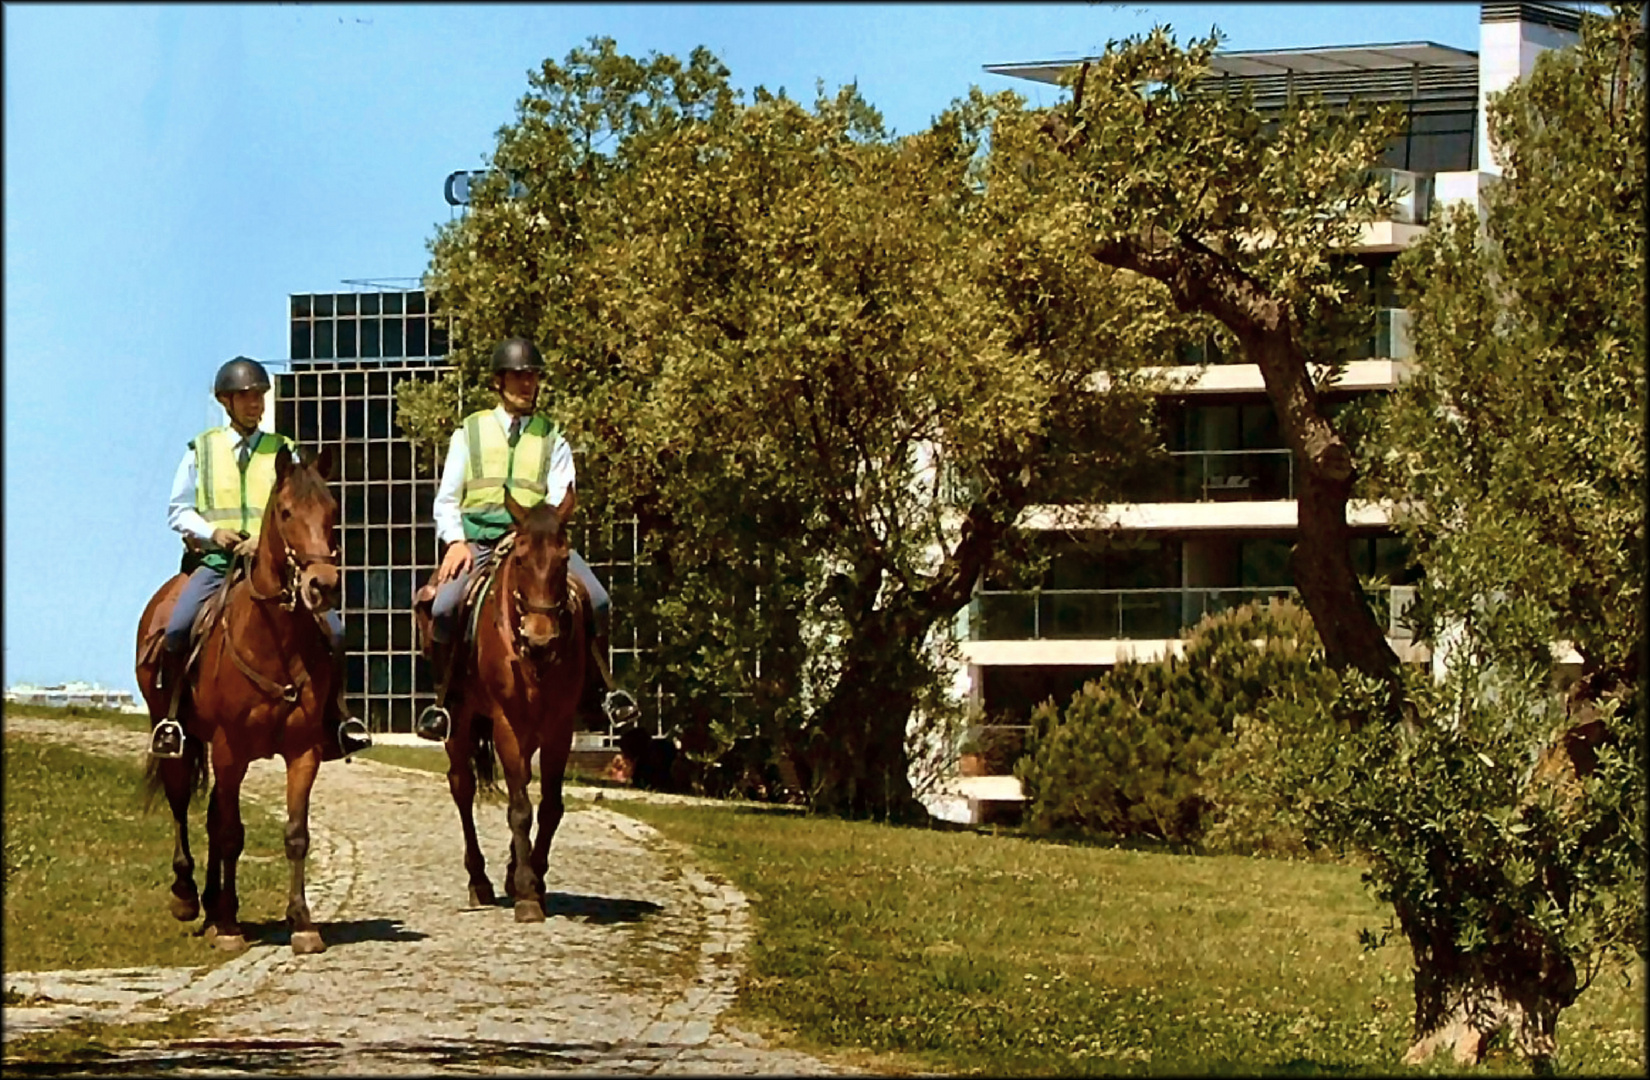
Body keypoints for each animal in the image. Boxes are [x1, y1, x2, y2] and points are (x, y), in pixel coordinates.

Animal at [136, 445, 341, 956]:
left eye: (332, 512)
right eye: (285, 512)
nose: (322, 585)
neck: (274, 643)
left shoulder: (303, 751)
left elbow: (294, 834)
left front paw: (302, 923)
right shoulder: (230, 750)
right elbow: (229, 833)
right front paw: (229, 925)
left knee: (211, 815)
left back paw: (211, 905)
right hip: (178, 737)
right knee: (181, 803)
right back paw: (190, 898)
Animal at [442, 488, 590, 923]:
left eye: (563, 559)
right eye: (521, 560)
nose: (540, 640)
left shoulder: (559, 728)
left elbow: (550, 806)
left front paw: (533, 879)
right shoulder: (506, 725)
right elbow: (520, 808)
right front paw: (526, 894)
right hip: (460, 722)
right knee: (462, 786)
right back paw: (479, 882)